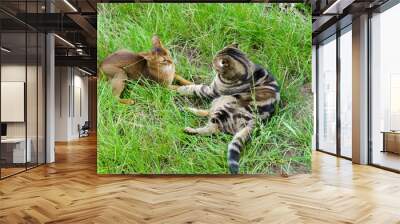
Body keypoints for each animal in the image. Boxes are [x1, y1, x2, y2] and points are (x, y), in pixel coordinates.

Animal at [177, 43, 280, 173]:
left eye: (214, 61)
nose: (211, 61)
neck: (247, 70)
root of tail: (256, 122)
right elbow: (193, 83)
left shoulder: (212, 91)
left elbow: (196, 88)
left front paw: (179, 89)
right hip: (219, 103)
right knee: (208, 113)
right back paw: (186, 109)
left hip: (225, 108)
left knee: (212, 129)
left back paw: (190, 130)